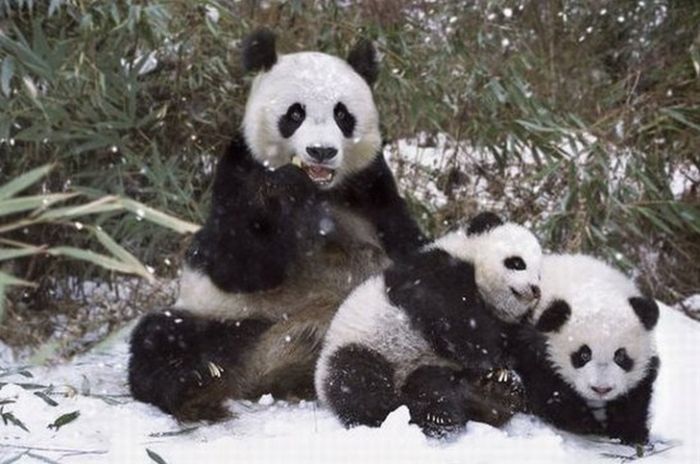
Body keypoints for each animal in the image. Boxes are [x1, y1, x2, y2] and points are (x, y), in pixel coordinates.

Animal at [130, 29, 426, 420]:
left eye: (342, 114)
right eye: (295, 113)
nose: (321, 151)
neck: (321, 189)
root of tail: (265, 372)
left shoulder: (373, 186)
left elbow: (409, 246)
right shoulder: (240, 172)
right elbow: (239, 265)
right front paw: (286, 189)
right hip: (229, 320)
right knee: (159, 337)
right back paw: (196, 388)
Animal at [316, 214, 540, 438]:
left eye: (539, 275)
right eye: (517, 263)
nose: (535, 289)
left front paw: (506, 375)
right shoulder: (434, 273)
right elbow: (455, 319)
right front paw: (495, 363)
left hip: (429, 366)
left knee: (434, 384)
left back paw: (487, 398)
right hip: (366, 344)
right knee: (358, 380)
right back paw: (426, 414)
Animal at [512, 254, 660, 446]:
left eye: (620, 356)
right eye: (584, 354)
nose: (601, 389)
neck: (592, 288)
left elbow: (638, 391)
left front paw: (630, 432)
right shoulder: (534, 339)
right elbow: (547, 387)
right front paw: (586, 422)